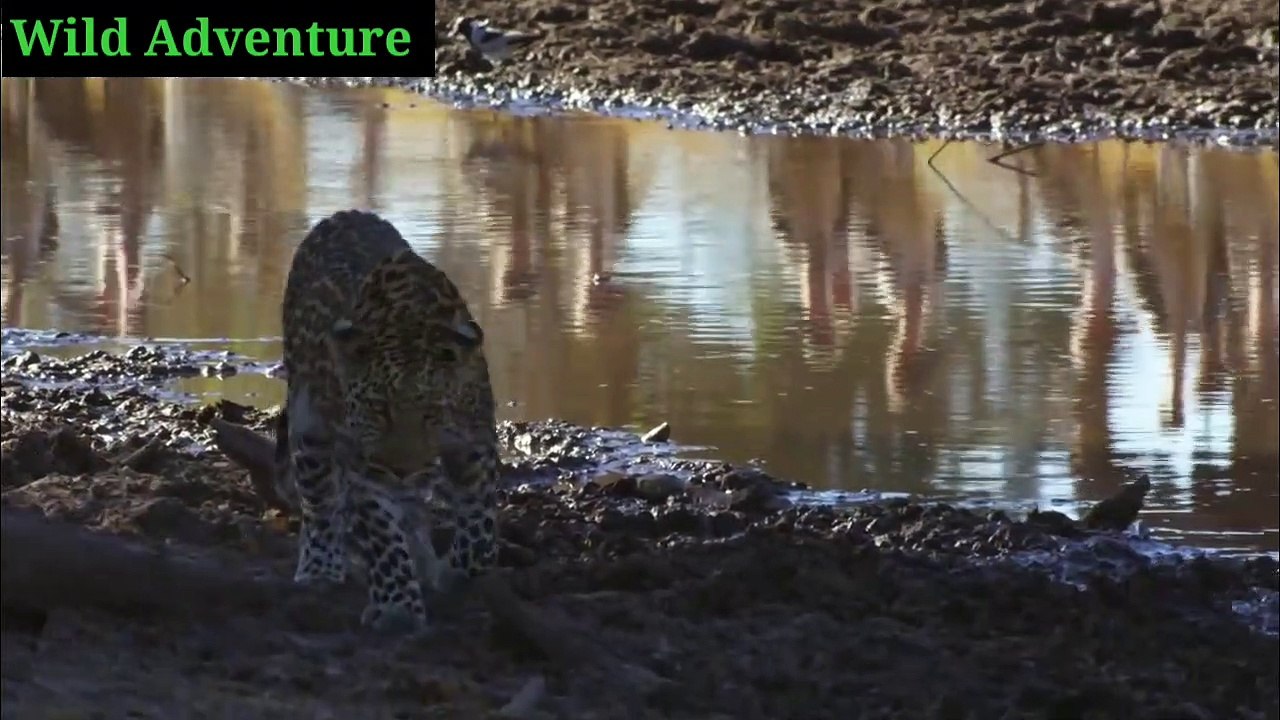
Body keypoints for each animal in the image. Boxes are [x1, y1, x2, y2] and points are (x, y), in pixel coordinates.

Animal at [273, 209, 501, 633]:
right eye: (377, 408)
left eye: (432, 411)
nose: (399, 471)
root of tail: (343, 214)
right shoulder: (363, 466)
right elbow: (382, 536)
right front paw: (398, 608)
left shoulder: (475, 442)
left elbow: (481, 530)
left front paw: (457, 573)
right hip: (308, 421)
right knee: (319, 502)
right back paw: (320, 567)